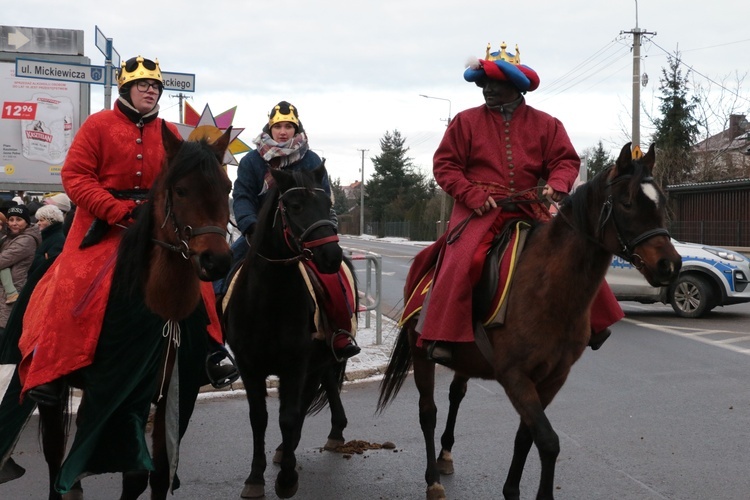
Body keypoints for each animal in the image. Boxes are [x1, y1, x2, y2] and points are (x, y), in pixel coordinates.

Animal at [30, 122, 234, 500]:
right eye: (181, 190)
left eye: (227, 187)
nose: (217, 262)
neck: (162, 308)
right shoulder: (118, 396)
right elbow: (135, 472)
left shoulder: (177, 396)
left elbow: (161, 472)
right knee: (54, 456)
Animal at [378, 143, 684, 498]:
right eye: (627, 202)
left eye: (661, 202)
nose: (670, 265)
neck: (549, 290)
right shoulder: (516, 377)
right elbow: (548, 441)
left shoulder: (553, 378)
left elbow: (527, 437)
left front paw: (512, 489)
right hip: (420, 353)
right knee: (428, 412)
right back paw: (433, 480)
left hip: (464, 358)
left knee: (456, 394)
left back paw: (445, 455)